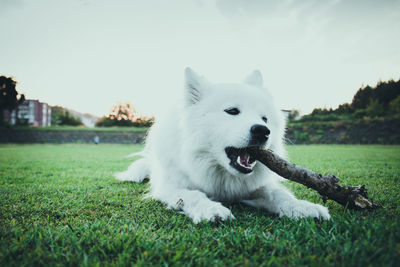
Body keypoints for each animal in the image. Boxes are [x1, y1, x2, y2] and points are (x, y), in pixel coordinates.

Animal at [115, 68, 328, 223]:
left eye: (264, 119)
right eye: (232, 111)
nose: (263, 131)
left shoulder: (254, 188)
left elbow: (279, 194)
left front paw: (303, 207)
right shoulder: (170, 187)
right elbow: (193, 195)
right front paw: (211, 209)